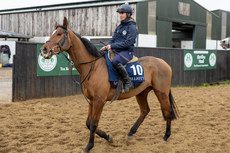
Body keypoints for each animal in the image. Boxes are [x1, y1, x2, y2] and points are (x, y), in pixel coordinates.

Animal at [40, 17, 179, 152]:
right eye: (52, 33)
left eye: (59, 33)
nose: (44, 49)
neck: (93, 67)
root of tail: (164, 63)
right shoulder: (92, 101)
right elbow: (88, 123)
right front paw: (108, 137)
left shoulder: (99, 101)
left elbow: (93, 124)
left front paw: (89, 146)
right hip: (141, 92)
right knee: (145, 111)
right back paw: (131, 133)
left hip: (161, 92)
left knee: (167, 111)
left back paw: (166, 136)